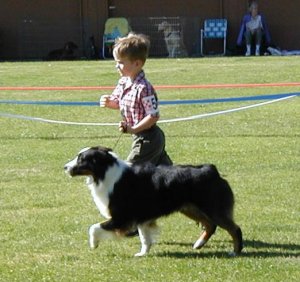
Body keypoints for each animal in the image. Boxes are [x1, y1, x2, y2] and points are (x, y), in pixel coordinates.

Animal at [64, 147, 243, 256]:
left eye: (81, 159)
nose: (65, 167)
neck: (104, 173)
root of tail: (211, 169)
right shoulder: (141, 217)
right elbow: (145, 238)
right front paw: (142, 254)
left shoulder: (122, 217)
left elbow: (93, 227)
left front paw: (94, 244)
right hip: (190, 208)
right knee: (210, 225)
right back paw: (198, 244)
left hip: (212, 208)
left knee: (235, 229)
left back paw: (235, 252)